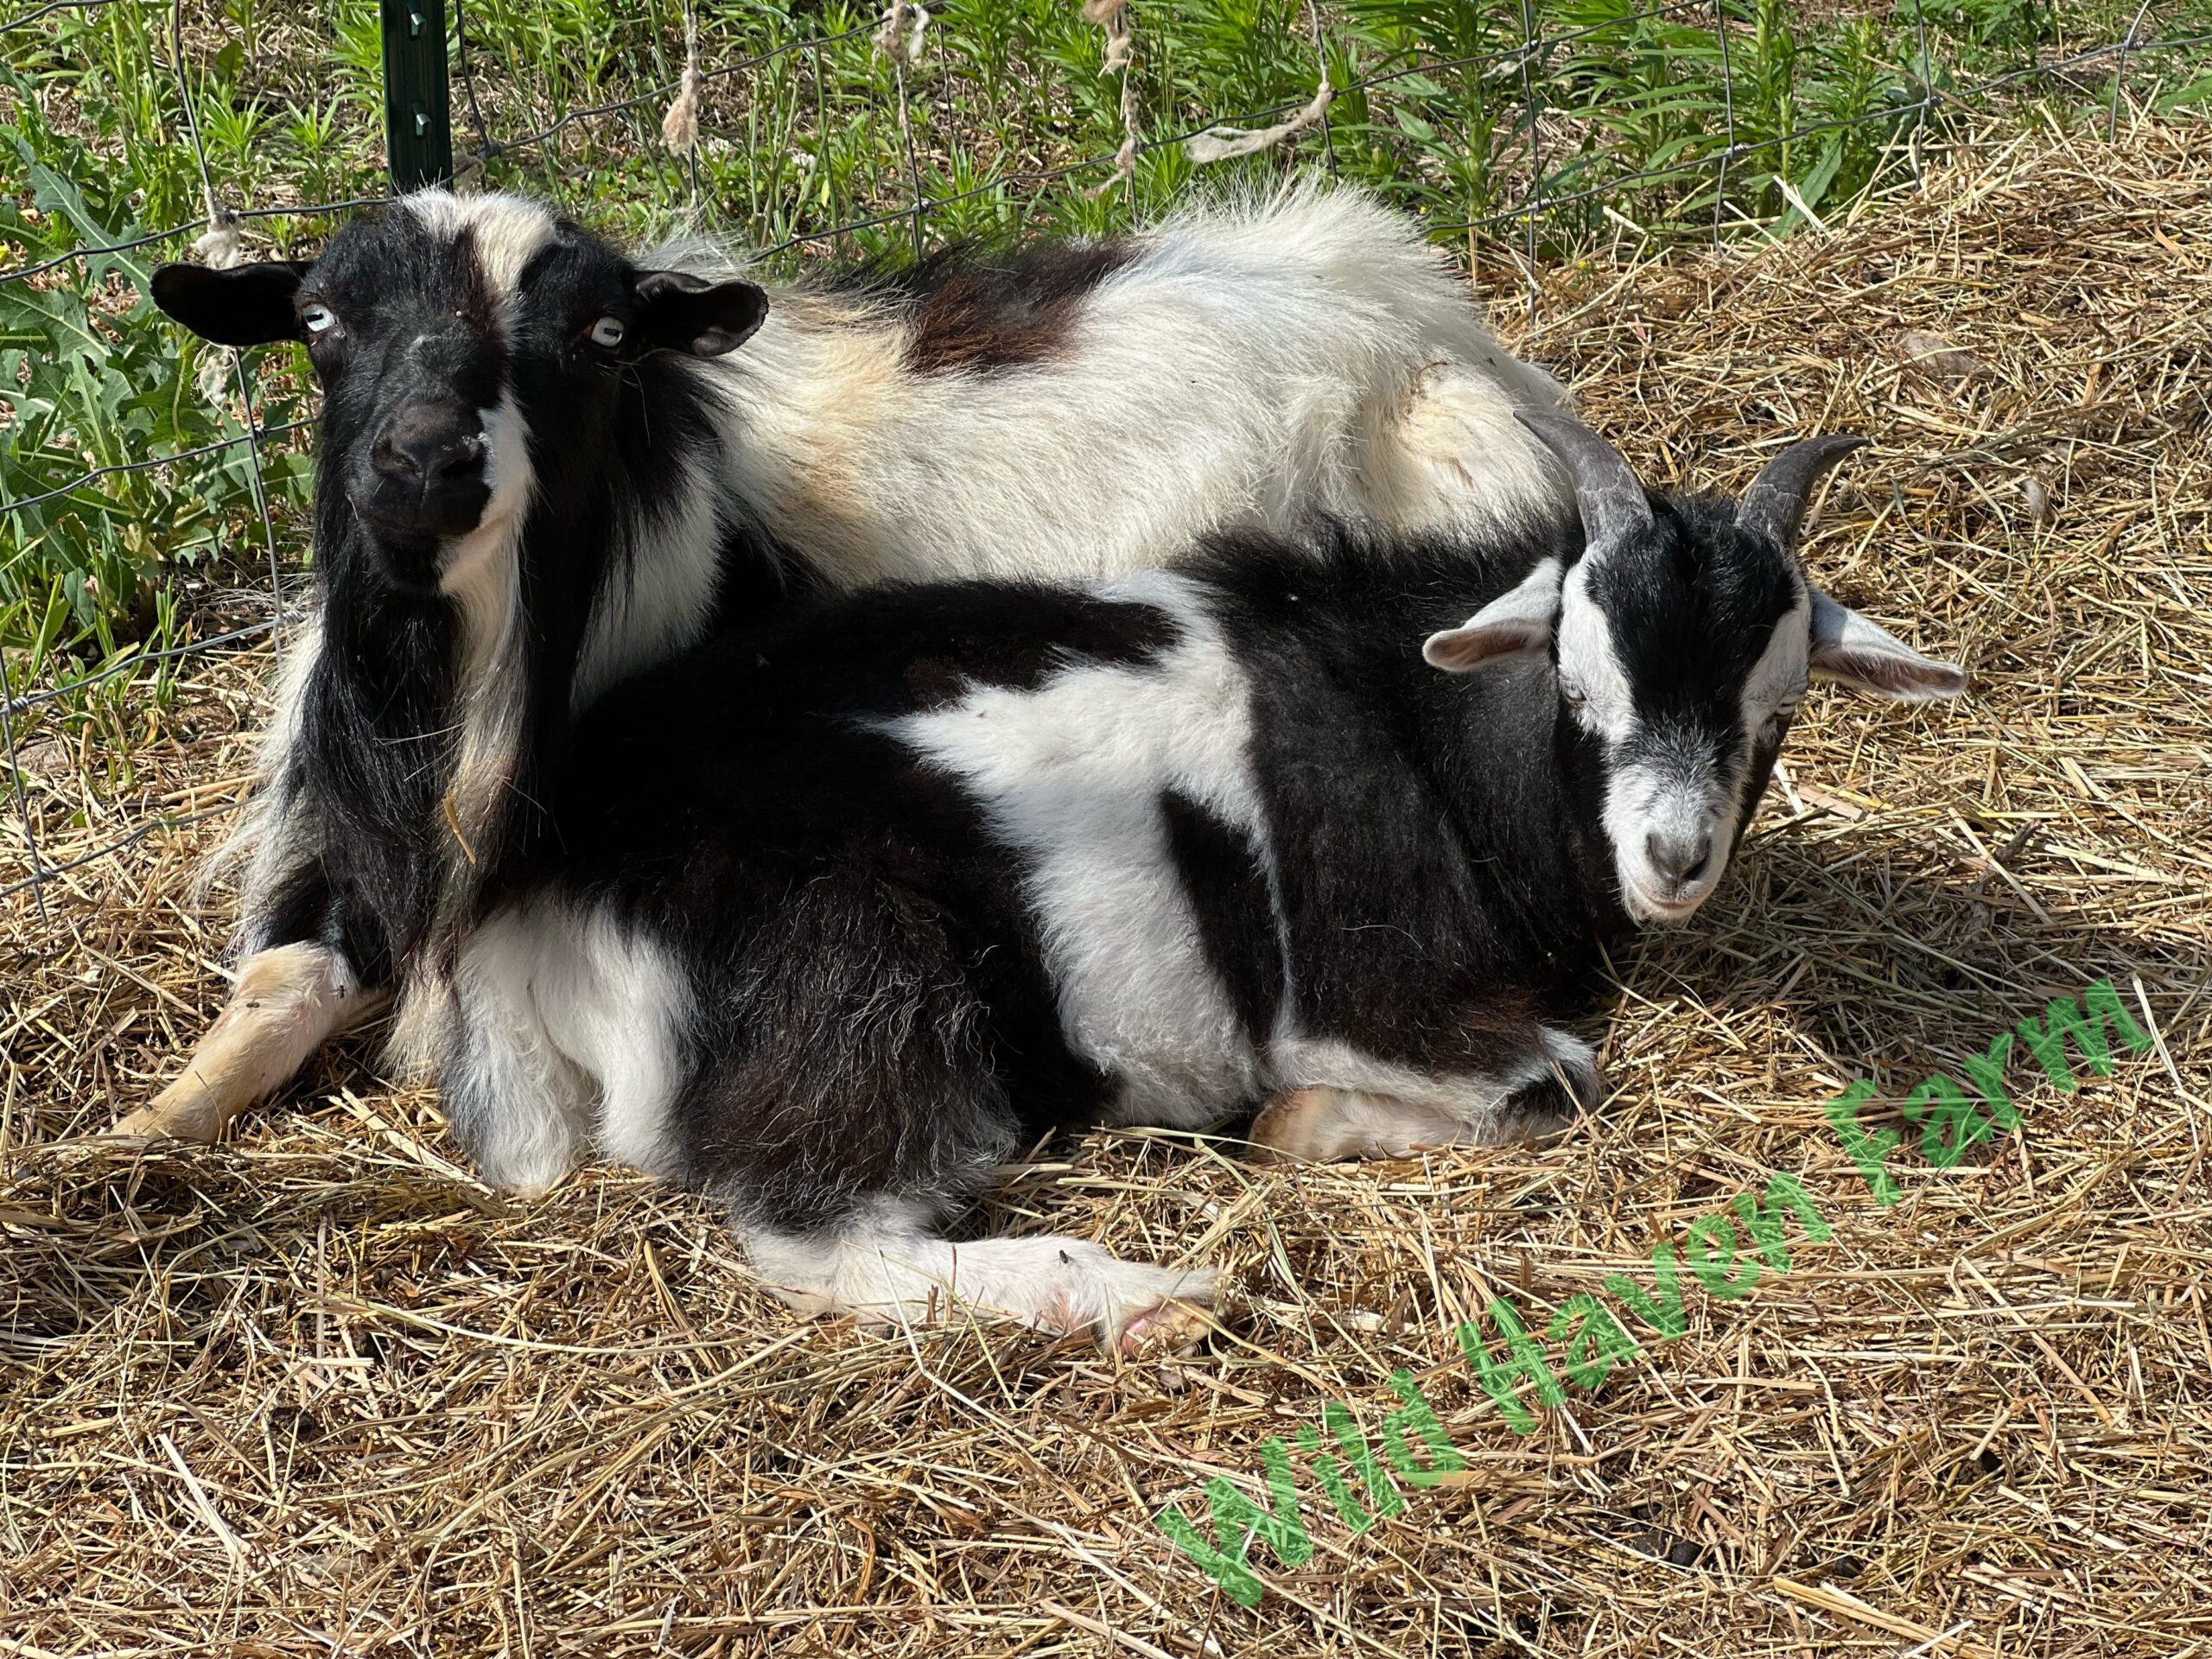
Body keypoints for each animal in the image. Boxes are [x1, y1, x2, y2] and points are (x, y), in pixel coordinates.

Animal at [122, 186, 1572, 1144]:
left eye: (602, 338)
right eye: (320, 323)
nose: (424, 466)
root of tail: (1410, 307)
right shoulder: (338, 825)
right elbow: (279, 988)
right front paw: (131, 1143)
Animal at [398, 412, 1963, 1351]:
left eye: (1777, 708)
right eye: (1582, 685)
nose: (1673, 858)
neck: (1417, 723)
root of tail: (537, 889)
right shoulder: (1374, 994)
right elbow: (1555, 1081)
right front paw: (1294, 1125)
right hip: (851, 983)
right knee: (815, 1233)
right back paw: (1143, 1297)